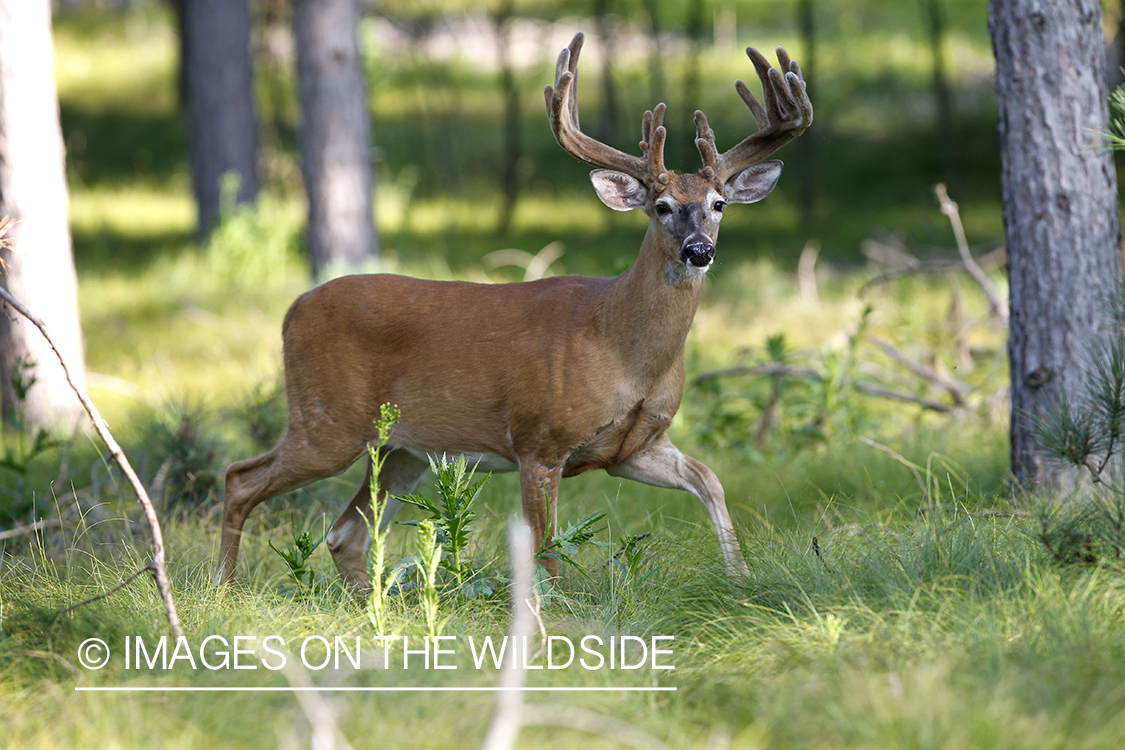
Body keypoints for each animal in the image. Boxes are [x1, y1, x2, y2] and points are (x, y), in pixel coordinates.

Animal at [217, 32, 810, 589]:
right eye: (661, 207)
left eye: (718, 205)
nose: (699, 250)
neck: (620, 344)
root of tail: (293, 308)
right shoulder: (539, 438)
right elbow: (546, 552)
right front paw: (556, 614)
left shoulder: (633, 447)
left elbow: (710, 478)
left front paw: (742, 578)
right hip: (326, 420)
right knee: (241, 477)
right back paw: (225, 588)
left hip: (403, 449)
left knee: (344, 533)